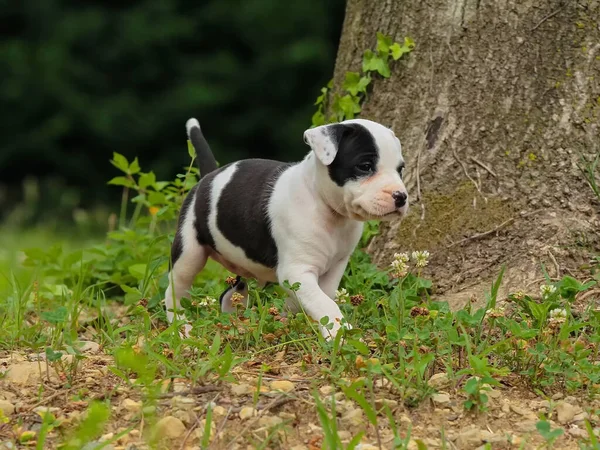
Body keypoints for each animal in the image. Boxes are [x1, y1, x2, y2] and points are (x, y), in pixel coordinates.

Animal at [164, 118, 408, 340]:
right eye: (365, 166)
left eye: (400, 170)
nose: (401, 196)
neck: (328, 209)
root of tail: (208, 177)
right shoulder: (296, 270)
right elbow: (323, 302)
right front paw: (341, 333)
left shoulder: (335, 267)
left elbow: (320, 297)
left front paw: (289, 319)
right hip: (189, 252)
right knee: (175, 289)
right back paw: (181, 327)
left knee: (231, 293)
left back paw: (235, 321)